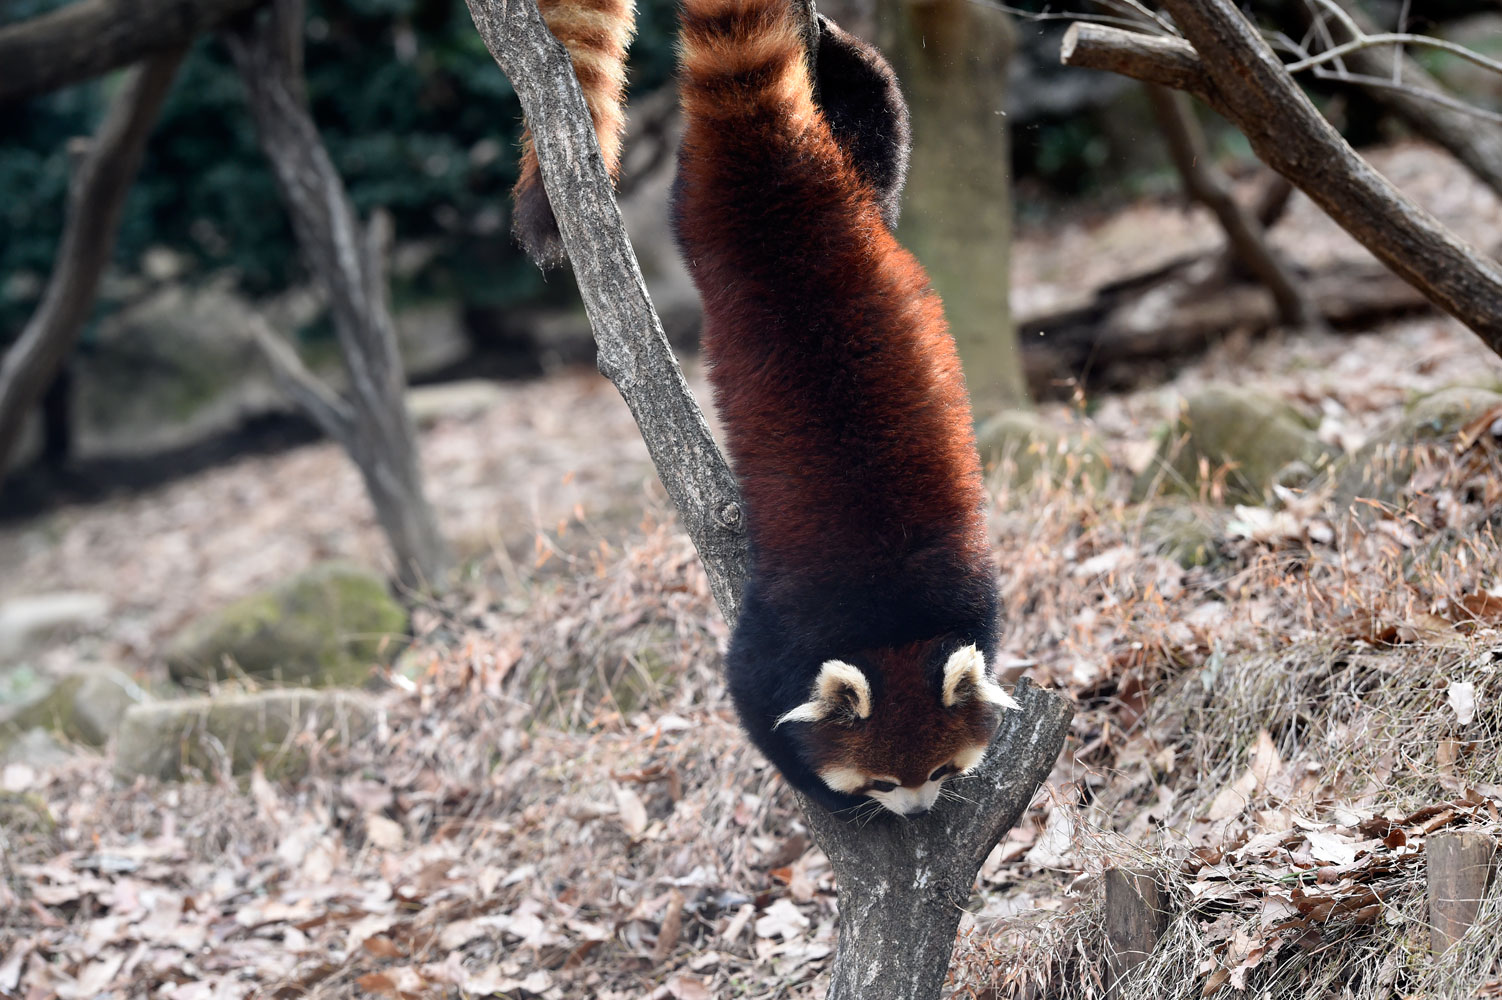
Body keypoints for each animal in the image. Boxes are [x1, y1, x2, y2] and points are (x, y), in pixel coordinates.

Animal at [678, 0, 1015, 810]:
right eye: (883, 779)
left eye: (941, 770)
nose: (918, 812)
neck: (890, 619)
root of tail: (786, 191)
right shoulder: (789, 624)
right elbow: (750, 693)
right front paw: (821, 787)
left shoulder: (967, 592)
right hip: (699, 222)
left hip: (854, 187)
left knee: (878, 128)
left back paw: (837, 51)